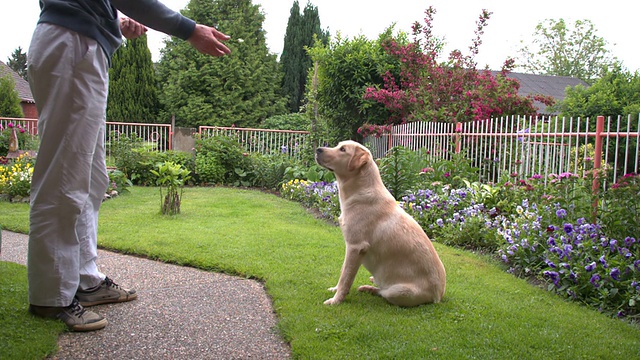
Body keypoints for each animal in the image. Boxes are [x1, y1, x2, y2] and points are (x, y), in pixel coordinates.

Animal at [316, 141, 444, 306]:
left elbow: (345, 277)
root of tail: (439, 295)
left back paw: (370, 288)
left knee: (383, 292)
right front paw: (335, 290)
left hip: (397, 292)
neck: (360, 189)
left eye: (343, 149)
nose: (318, 149)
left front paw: (336, 300)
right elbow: (343, 271)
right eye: (338, 146)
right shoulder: (351, 247)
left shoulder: (355, 247)